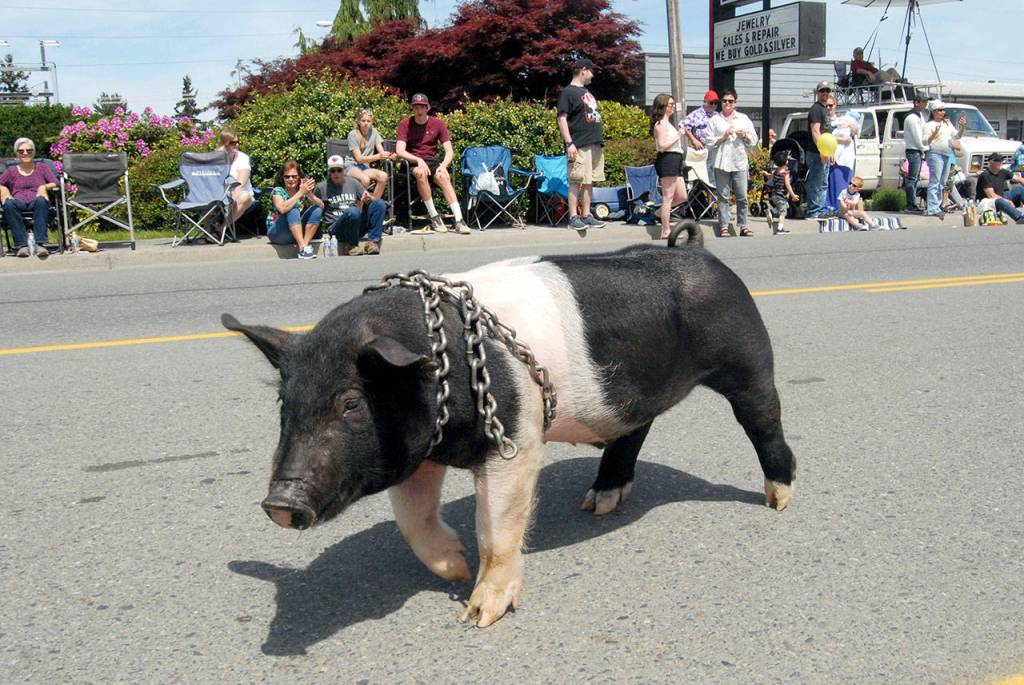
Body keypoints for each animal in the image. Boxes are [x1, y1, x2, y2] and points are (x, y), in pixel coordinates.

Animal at [223, 221, 796, 628]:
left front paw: (477, 616)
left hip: (748, 357)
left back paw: (779, 500)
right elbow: (413, 520)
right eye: (284, 402)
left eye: (351, 404)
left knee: (764, 418)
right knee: (635, 430)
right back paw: (598, 503)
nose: (280, 503)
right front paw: (454, 567)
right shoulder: (416, 451)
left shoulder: (516, 439)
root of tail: (697, 250)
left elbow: (497, 528)